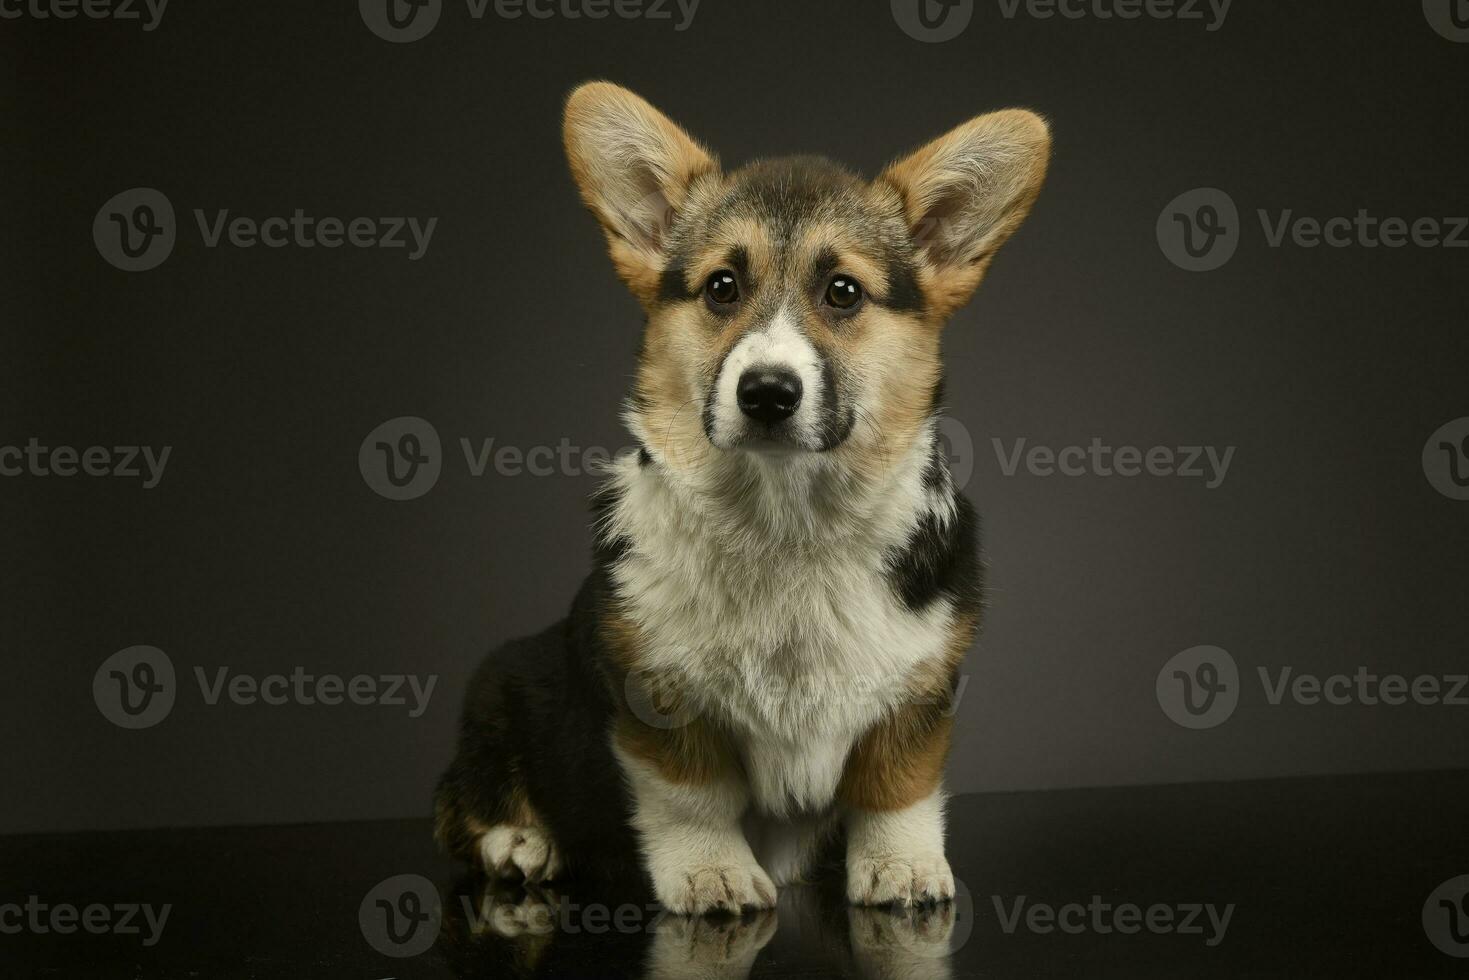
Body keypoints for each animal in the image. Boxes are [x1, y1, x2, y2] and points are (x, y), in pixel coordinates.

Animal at [428, 80, 1051, 916]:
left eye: (842, 291)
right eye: (722, 287)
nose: (766, 393)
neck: (786, 521)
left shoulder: (918, 689)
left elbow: (898, 785)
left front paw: (901, 866)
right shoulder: (655, 696)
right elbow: (691, 796)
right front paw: (710, 873)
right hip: (501, 687)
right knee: (459, 805)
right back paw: (521, 845)